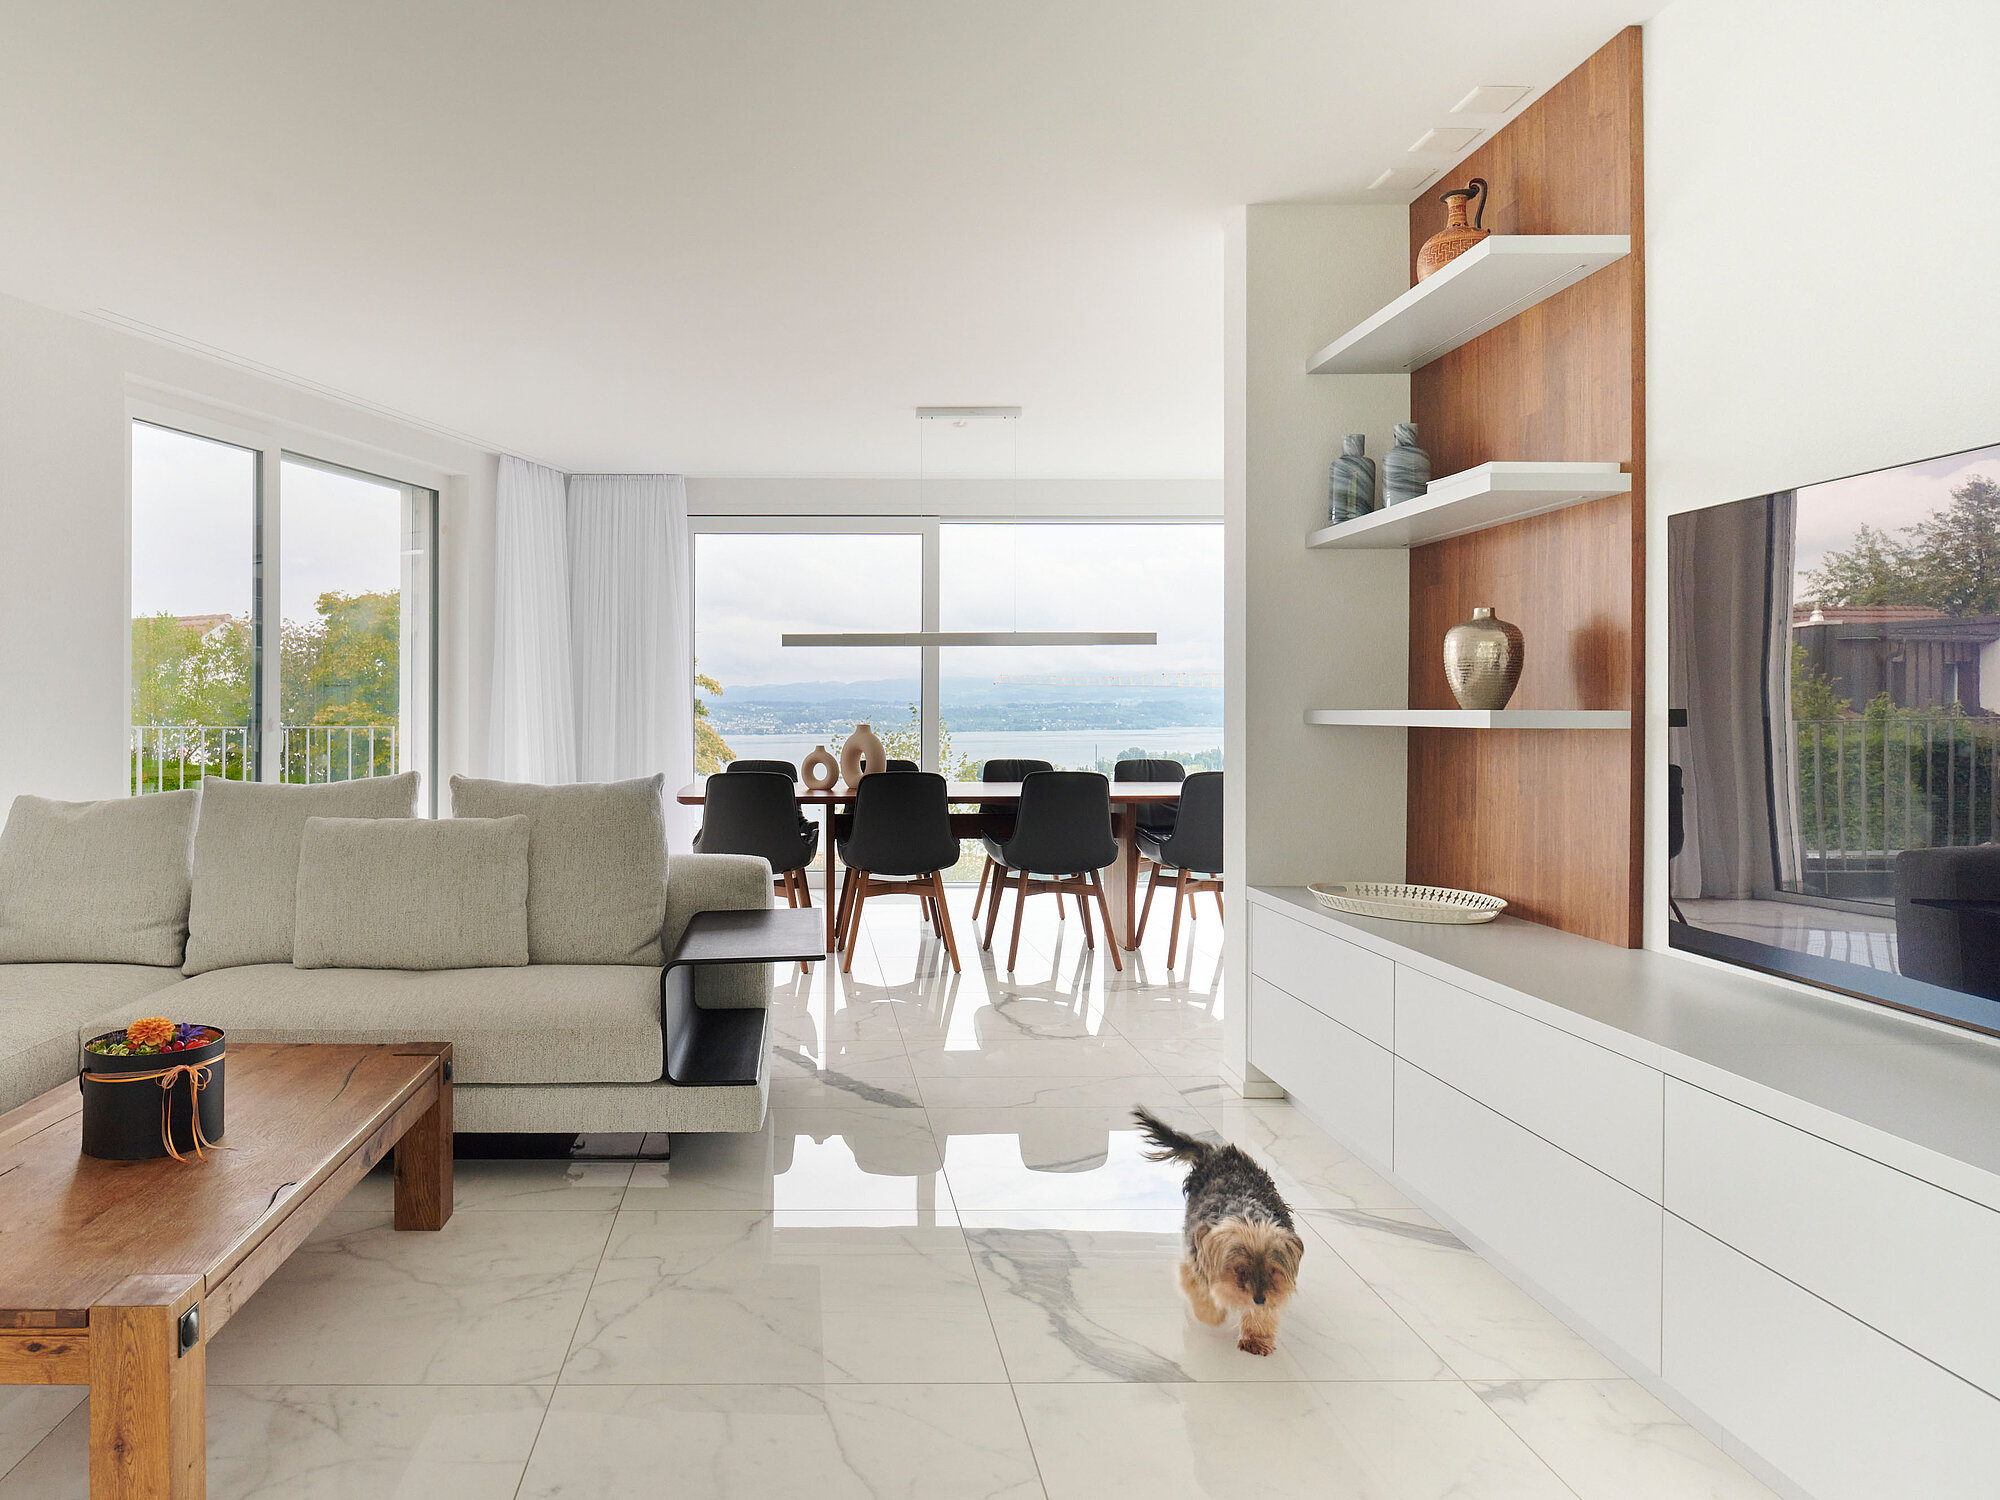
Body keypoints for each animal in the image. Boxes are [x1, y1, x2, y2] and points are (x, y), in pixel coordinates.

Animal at [1136, 1104, 1304, 1360]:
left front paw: (1256, 1338)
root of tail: (1216, 1152)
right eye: (1240, 1270)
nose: (1259, 1299)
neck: (1248, 1218)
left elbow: (1267, 1310)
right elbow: (1202, 1293)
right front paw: (1213, 1315)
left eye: (1273, 1270)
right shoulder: (1197, 1261)